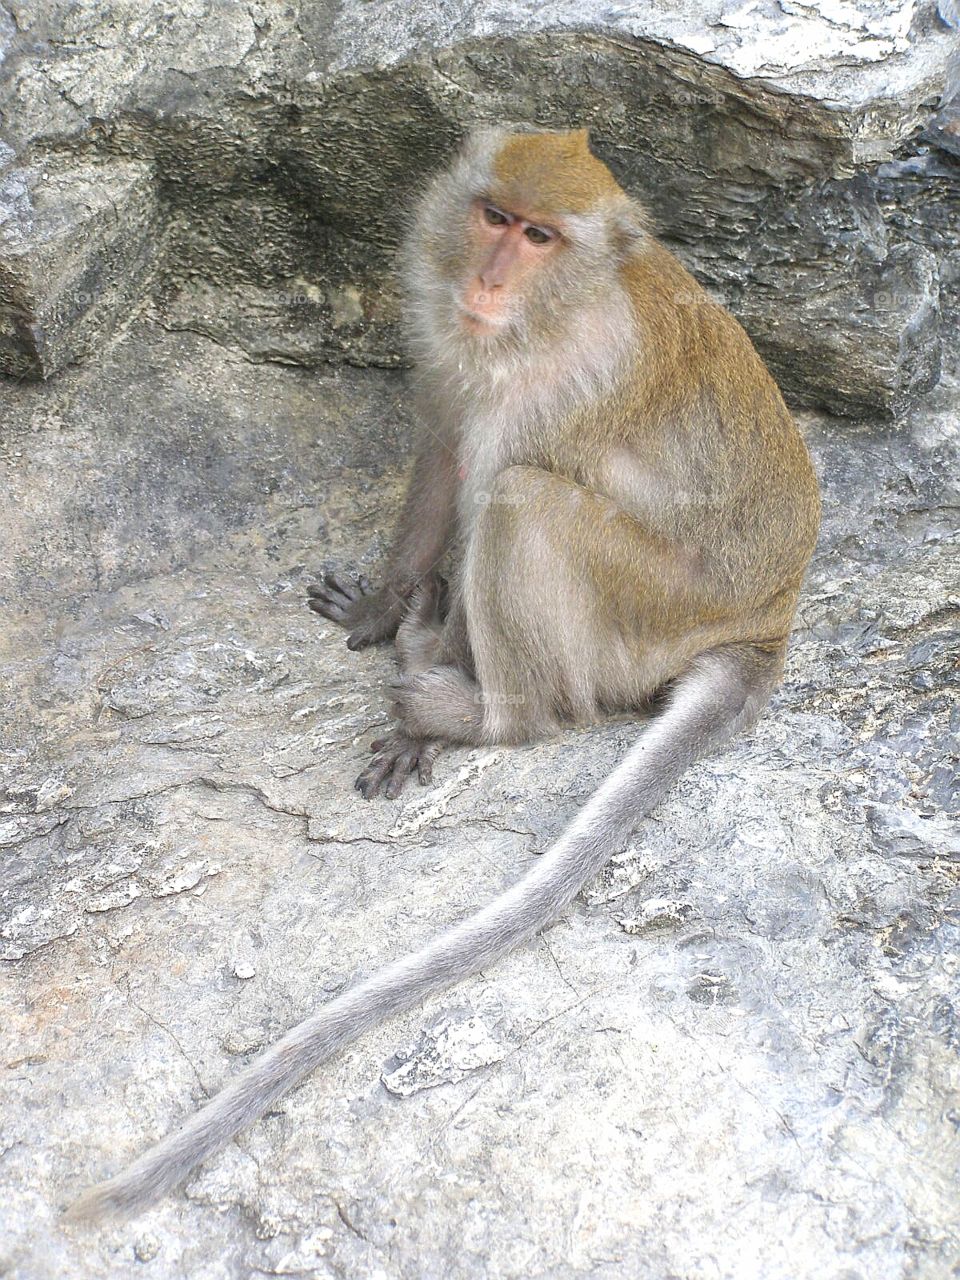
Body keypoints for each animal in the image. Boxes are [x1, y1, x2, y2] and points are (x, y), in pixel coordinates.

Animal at [68, 128, 820, 1221]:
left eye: (541, 237)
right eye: (495, 216)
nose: (489, 276)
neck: (556, 309)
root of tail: (767, 623)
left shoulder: (547, 387)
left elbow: (485, 472)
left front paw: (424, 723)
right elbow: (440, 452)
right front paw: (384, 606)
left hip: (642, 611)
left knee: (520, 503)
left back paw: (482, 708)